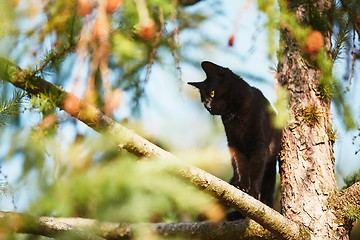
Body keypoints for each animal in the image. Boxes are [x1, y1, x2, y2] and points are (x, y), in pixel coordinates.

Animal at [188, 61, 282, 217]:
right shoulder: (234, 144)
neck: (235, 115)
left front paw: (253, 192)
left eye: (212, 93)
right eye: (202, 100)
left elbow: (256, 168)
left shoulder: (259, 144)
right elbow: (240, 165)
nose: (208, 106)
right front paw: (242, 186)